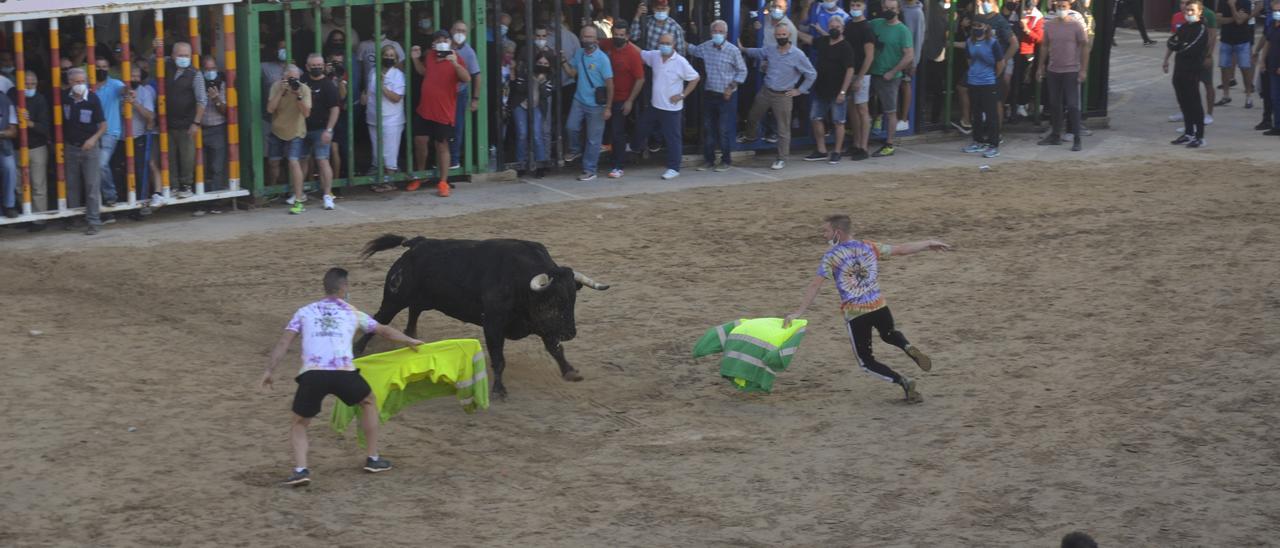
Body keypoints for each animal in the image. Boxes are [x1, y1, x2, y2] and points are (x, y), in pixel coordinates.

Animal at [350, 233, 609, 396]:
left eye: (573, 299)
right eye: (555, 300)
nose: (570, 333)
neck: (521, 283)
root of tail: (416, 244)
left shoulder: (543, 325)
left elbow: (556, 350)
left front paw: (570, 372)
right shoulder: (493, 325)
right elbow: (499, 358)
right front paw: (499, 389)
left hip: (423, 298)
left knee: (414, 311)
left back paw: (412, 338)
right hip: (395, 298)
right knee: (380, 319)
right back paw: (358, 349)